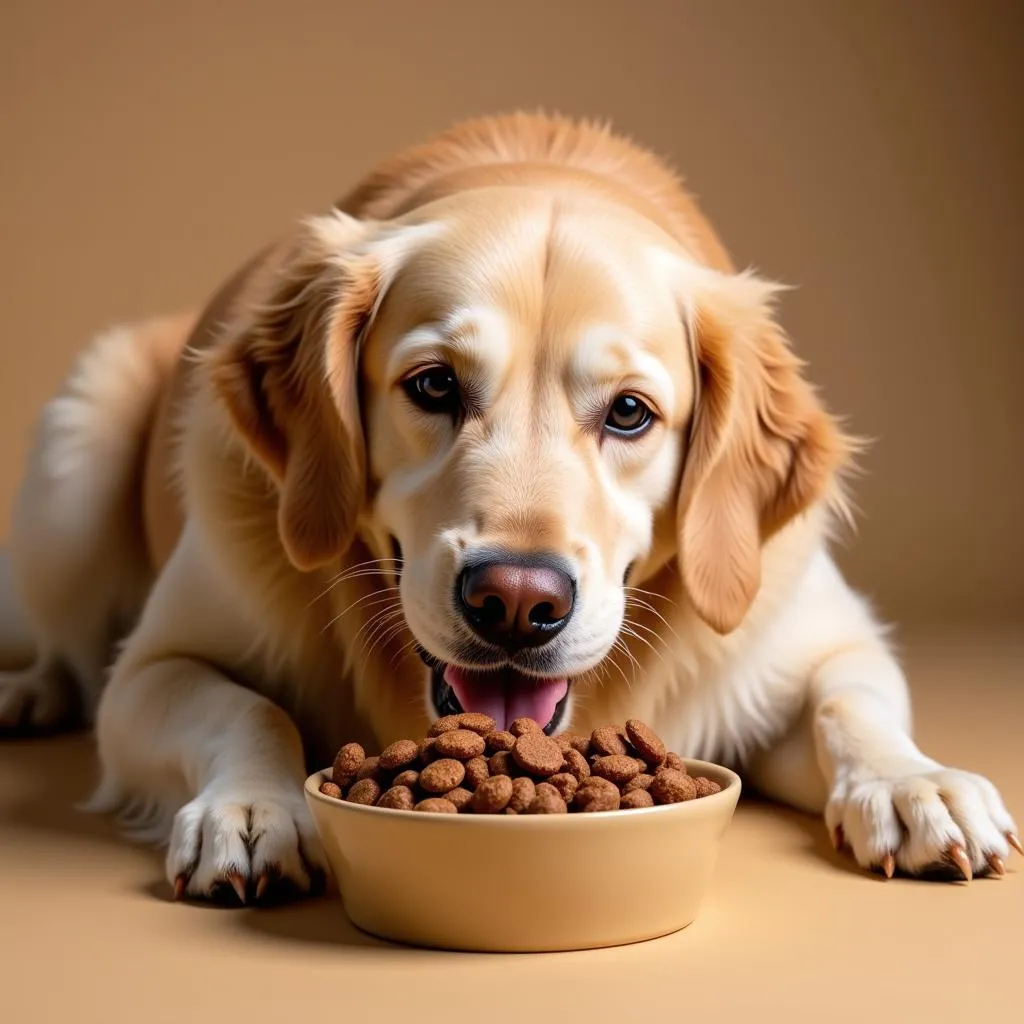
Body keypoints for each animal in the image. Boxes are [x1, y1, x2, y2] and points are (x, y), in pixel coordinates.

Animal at [2, 108, 1015, 901]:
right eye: (434, 385)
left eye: (631, 412)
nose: (518, 604)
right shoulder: (153, 669)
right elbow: (246, 708)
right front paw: (252, 808)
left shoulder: (818, 636)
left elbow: (853, 704)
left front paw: (917, 785)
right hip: (77, 443)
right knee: (66, 643)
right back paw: (31, 688)